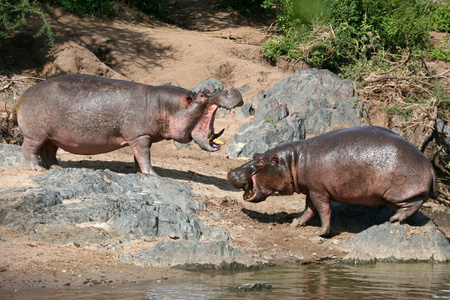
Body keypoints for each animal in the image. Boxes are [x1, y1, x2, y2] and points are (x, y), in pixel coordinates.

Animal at [16, 74, 246, 176]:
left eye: (208, 90)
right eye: (203, 95)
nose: (233, 89)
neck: (167, 106)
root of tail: (24, 94)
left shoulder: (143, 137)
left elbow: (139, 157)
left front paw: (139, 174)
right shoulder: (140, 136)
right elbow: (145, 156)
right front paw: (153, 175)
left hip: (52, 137)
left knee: (48, 152)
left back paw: (57, 167)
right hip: (36, 135)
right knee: (28, 150)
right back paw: (37, 169)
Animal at [227, 126, 438, 237]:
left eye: (261, 161)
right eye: (255, 154)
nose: (231, 171)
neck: (292, 161)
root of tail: (429, 164)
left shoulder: (318, 191)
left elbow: (323, 210)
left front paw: (322, 233)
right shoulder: (311, 190)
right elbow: (309, 210)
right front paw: (295, 223)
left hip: (402, 193)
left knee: (411, 205)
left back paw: (394, 219)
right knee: (414, 210)